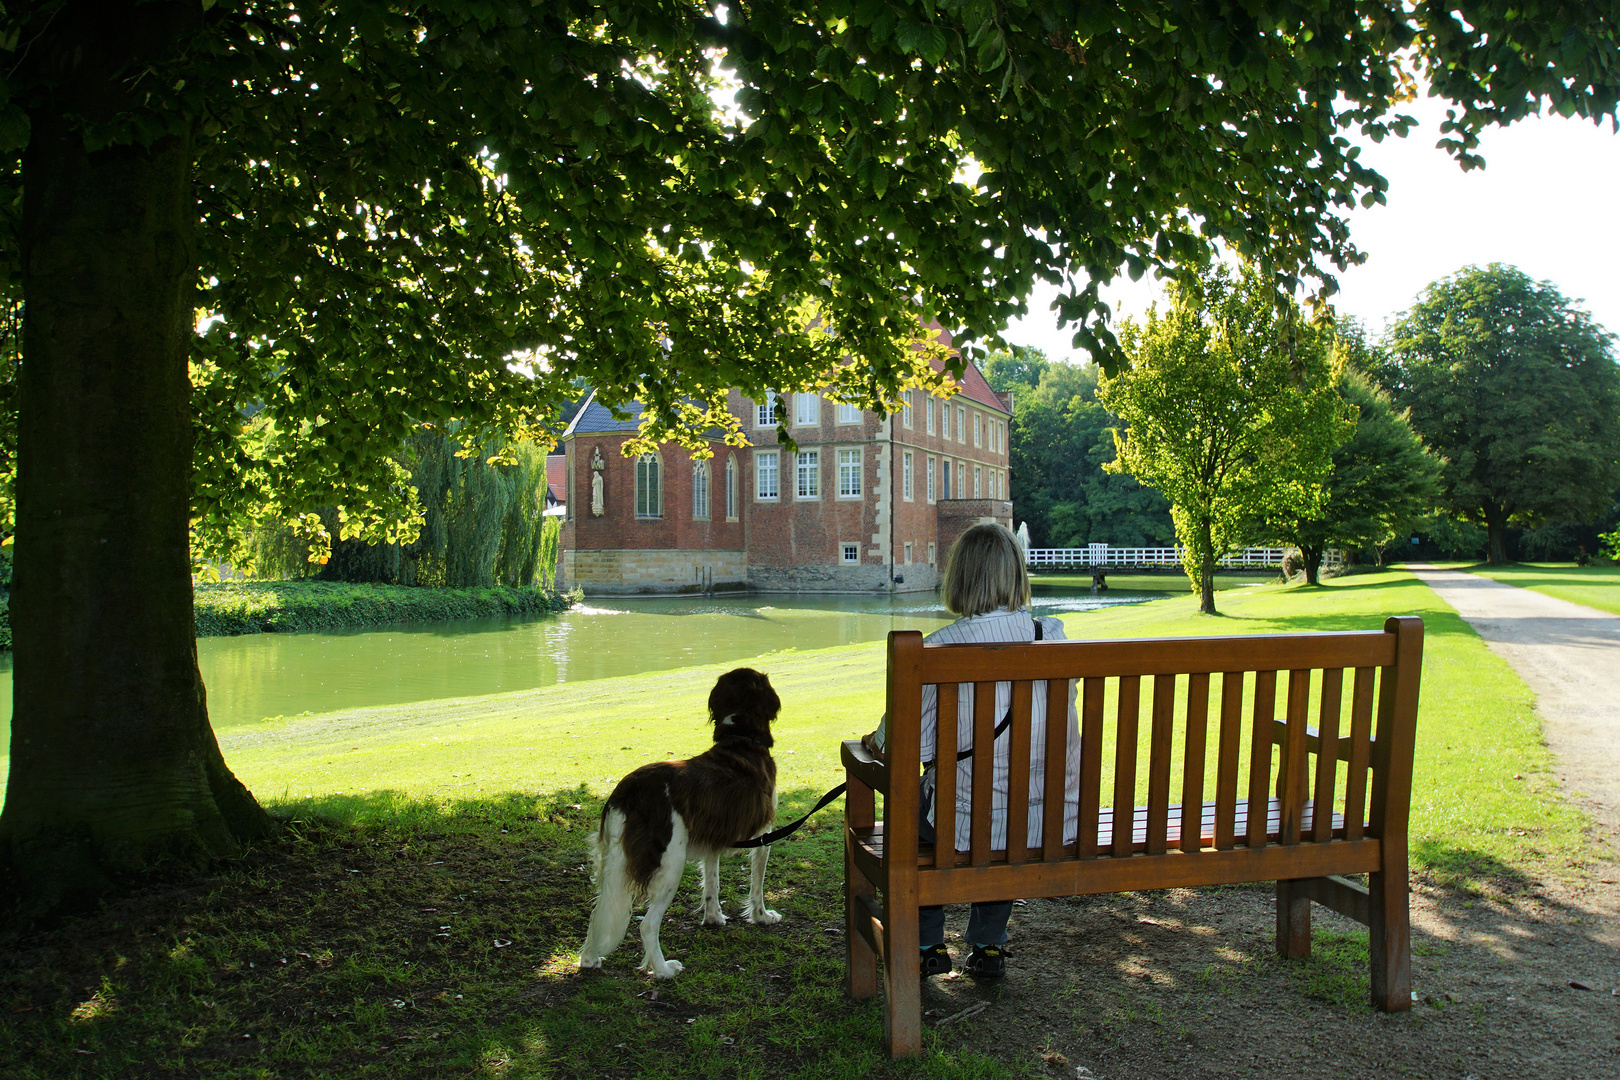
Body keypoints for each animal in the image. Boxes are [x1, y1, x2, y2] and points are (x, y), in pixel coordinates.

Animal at [583, 667, 784, 977]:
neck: (742, 738)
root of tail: (628, 790)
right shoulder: (763, 835)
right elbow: (757, 886)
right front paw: (762, 917)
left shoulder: (712, 838)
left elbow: (712, 884)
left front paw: (714, 918)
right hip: (671, 864)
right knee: (647, 924)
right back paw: (664, 970)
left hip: (613, 864)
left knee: (597, 913)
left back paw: (589, 959)